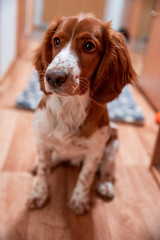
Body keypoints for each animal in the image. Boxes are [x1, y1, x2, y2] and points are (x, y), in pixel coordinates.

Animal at [26, 13, 136, 216]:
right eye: (56, 41)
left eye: (89, 46)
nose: (53, 77)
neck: (69, 106)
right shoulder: (41, 139)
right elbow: (44, 170)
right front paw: (39, 194)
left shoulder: (95, 151)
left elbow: (86, 176)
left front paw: (79, 200)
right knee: (55, 157)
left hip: (112, 146)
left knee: (107, 170)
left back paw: (106, 185)